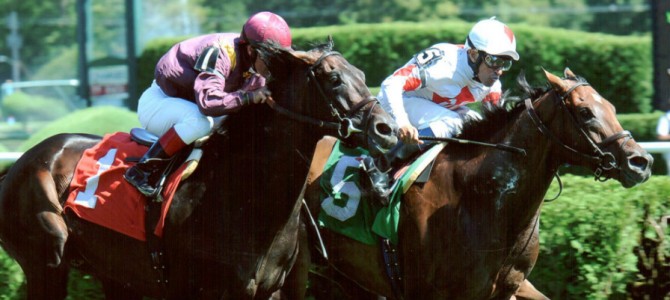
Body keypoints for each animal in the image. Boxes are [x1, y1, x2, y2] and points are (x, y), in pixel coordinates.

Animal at [0, 40, 400, 300]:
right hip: (45, 266)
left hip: (114, 272)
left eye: (361, 72)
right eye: (333, 78)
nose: (387, 129)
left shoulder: (270, 290)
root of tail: (17, 165)